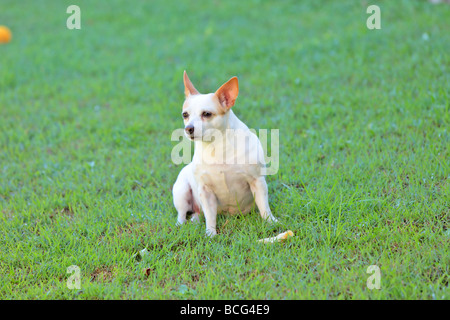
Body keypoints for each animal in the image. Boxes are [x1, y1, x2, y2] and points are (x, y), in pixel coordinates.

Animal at [172, 71, 278, 236]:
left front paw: (270, 222)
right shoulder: (205, 191)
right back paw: (181, 224)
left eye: (207, 114)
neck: (217, 146)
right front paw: (210, 233)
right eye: (185, 115)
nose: (188, 128)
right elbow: (210, 215)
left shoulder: (257, 182)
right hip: (181, 191)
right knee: (183, 213)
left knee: (197, 213)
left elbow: (264, 207)